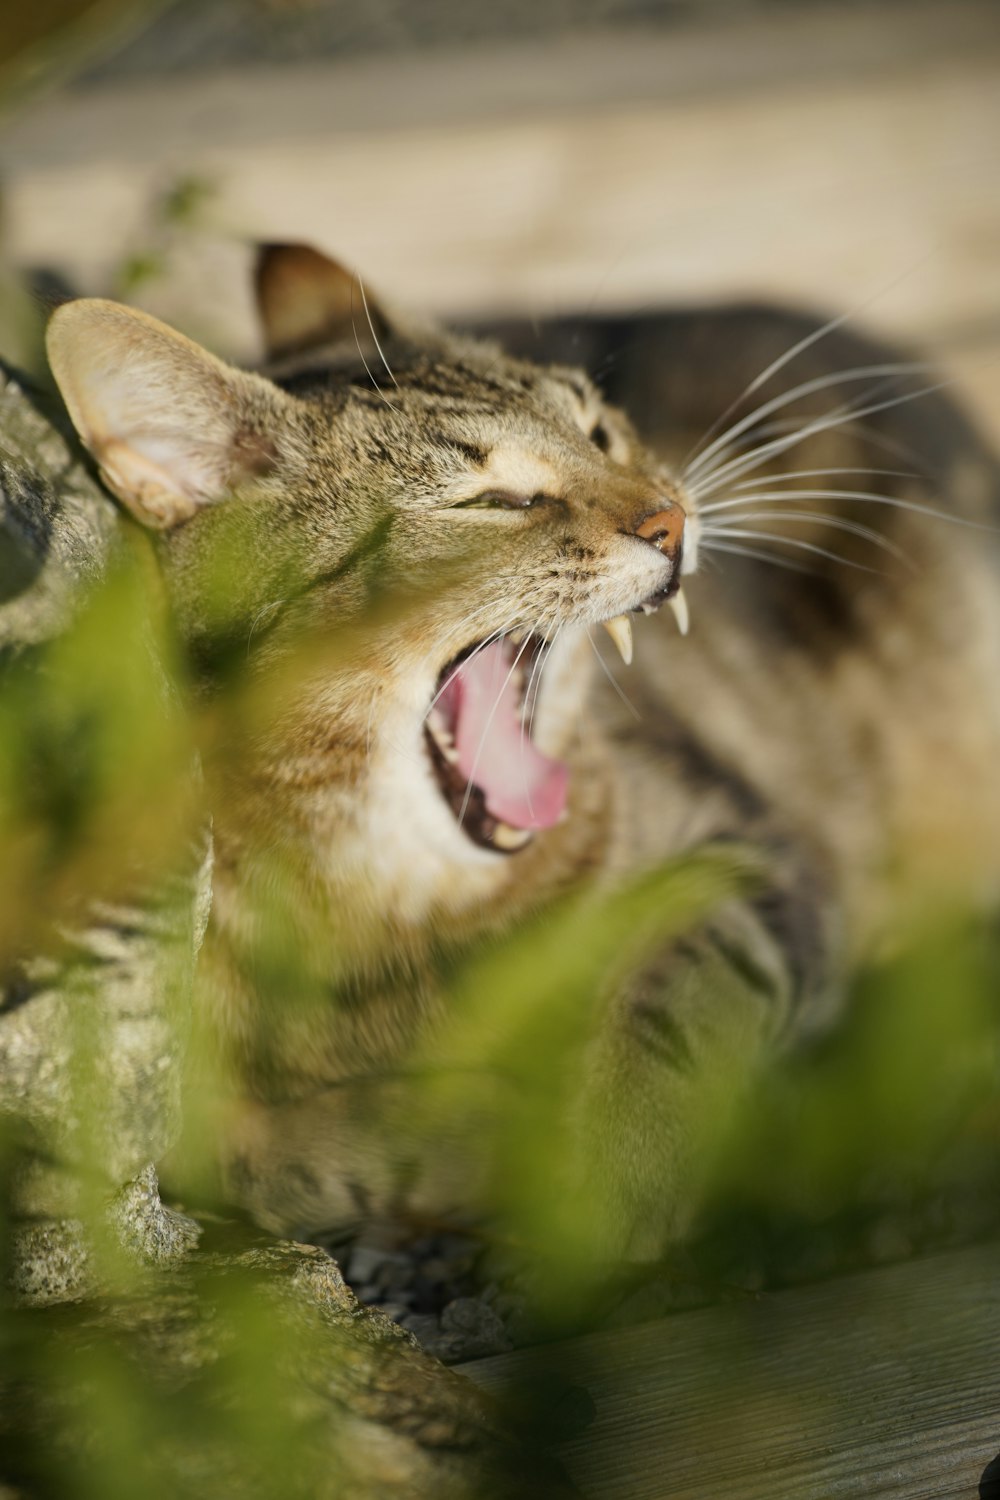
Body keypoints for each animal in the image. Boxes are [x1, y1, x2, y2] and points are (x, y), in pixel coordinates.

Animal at [43, 246, 1000, 1266]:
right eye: (494, 501)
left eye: (600, 430)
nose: (671, 519)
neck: (403, 910)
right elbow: (255, 1154)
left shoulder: (759, 844)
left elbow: (687, 984)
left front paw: (614, 1168)